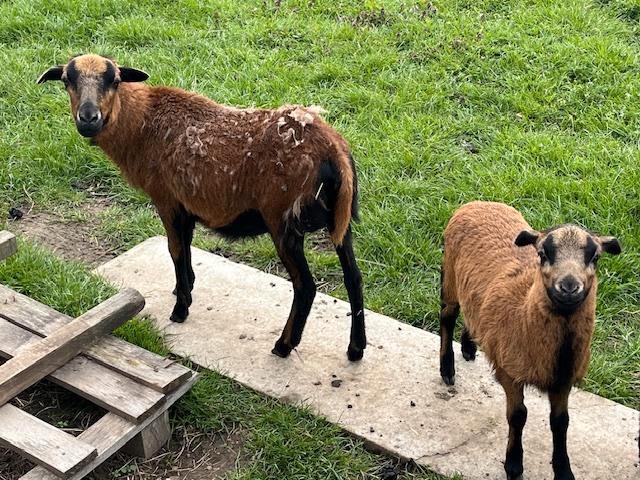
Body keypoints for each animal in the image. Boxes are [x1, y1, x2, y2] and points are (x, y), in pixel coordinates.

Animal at [37, 54, 367, 361]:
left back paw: (283, 346)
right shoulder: (186, 204)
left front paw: (180, 308)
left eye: (115, 80)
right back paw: (356, 349)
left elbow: (174, 249)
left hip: (282, 221)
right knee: (353, 277)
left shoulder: (166, 199)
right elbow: (186, 248)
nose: (88, 118)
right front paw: (185, 286)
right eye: (67, 80)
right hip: (341, 219)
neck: (141, 124)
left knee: (306, 286)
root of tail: (332, 148)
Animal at [439, 201, 621, 480]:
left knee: (472, 314)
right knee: (447, 317)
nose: (569, 287)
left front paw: (564, 470)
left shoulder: (564, 380)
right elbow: (518, 415)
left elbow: (561, 422)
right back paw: (447, 369)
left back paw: (469, 347)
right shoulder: (509, 372)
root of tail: (479, 202)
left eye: (595, 257)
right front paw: (514, 465)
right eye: (543, 254)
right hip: (449, 276)